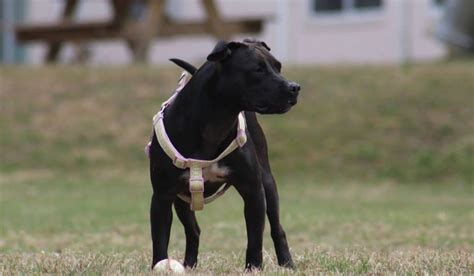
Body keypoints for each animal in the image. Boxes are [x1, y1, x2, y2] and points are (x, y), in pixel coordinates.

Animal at [149, 38, 300, 270]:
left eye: (279, 67)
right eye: (257, 69)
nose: (295, 87)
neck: (215, 123)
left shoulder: (253, 190)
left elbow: (254, 238)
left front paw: (253, 268)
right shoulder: (162, 197)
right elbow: (159, 240)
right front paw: (160, 265)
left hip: (268, 184)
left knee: (277, 228)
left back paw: (287, 263)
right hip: (182, 199)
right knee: (193, 231)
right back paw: (189, 265)